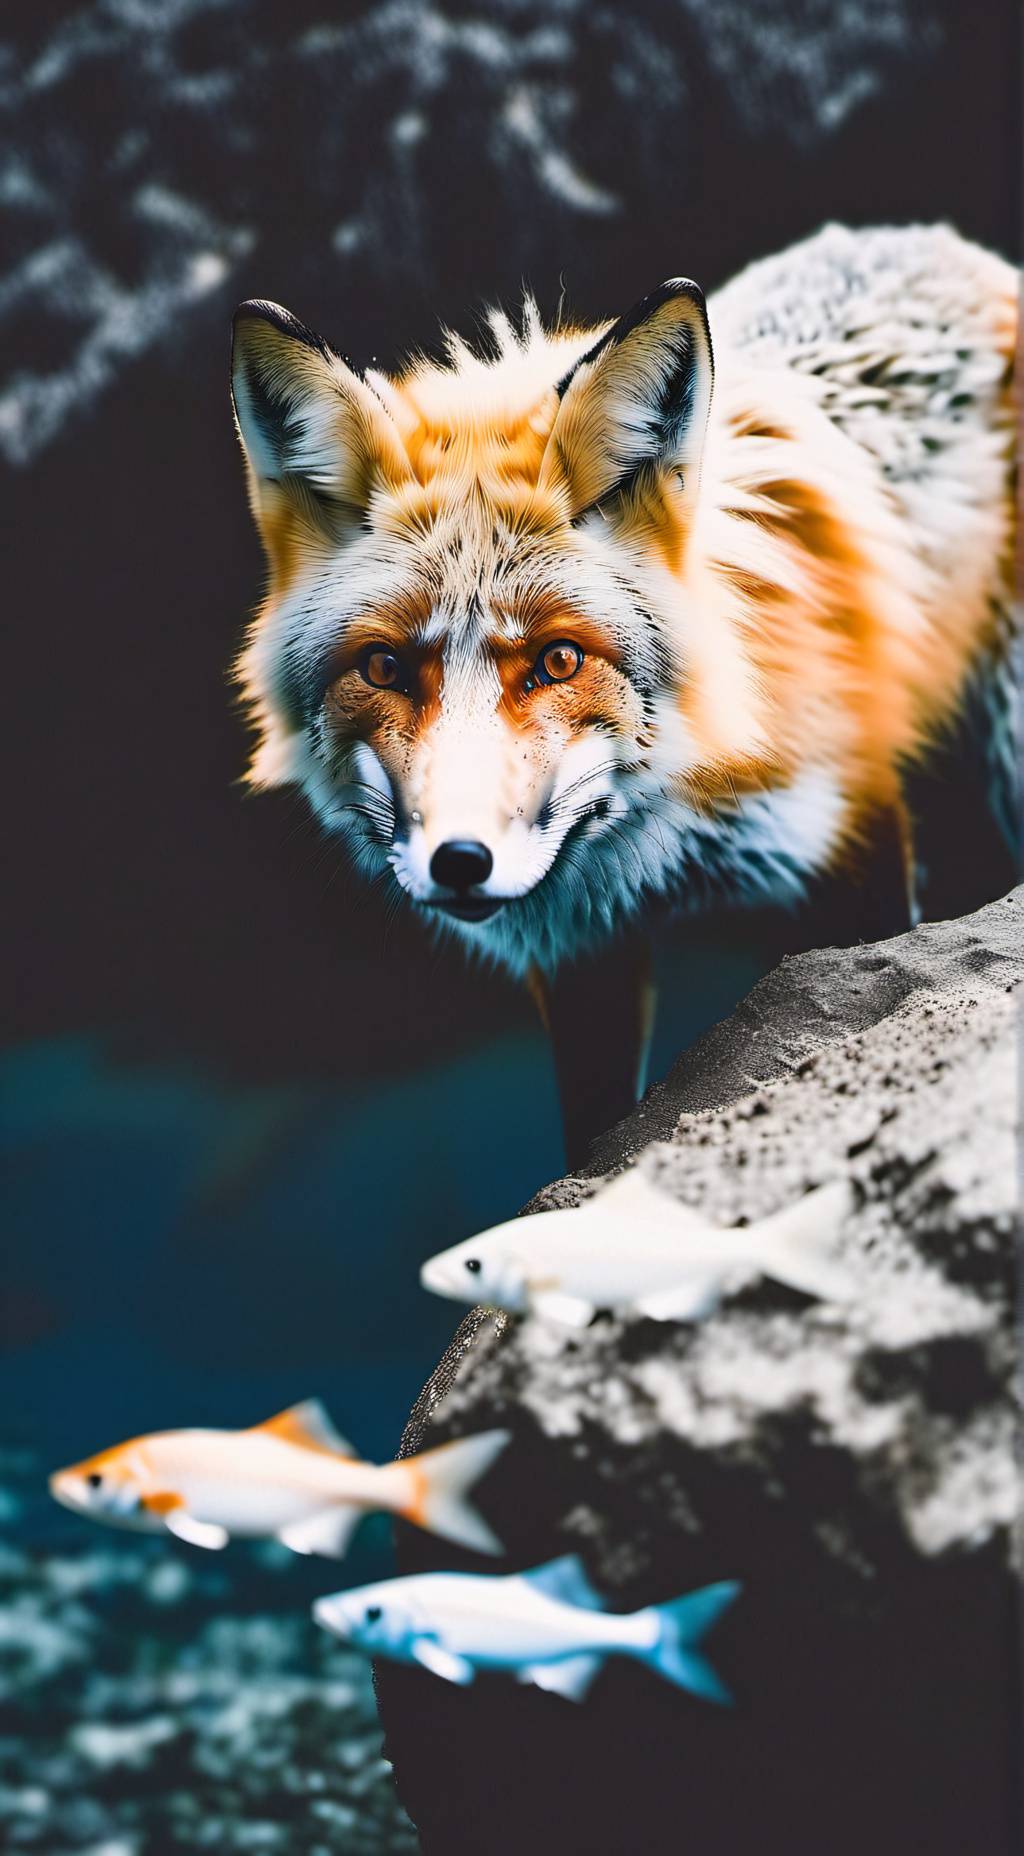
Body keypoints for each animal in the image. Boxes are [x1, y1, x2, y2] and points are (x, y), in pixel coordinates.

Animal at [230, 223, 1018, 1161]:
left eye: (560, 661)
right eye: (384, 668)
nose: (459, 862)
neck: (656, 837)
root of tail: (933, 242)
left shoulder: (856, 836)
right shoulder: (580, 956)